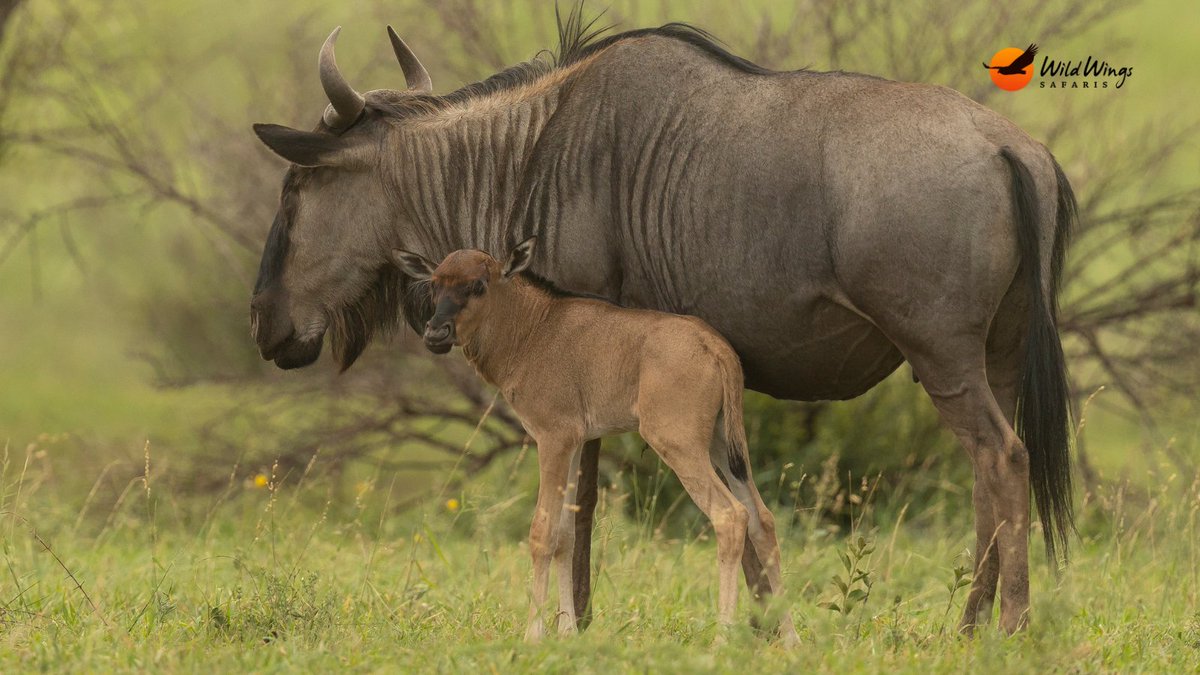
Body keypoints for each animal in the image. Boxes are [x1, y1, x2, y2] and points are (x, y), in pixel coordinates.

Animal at [393, 236, 801, 638]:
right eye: (434, 284)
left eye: (478, 285)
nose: (435, 334)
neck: (533, 327)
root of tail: (714, 347)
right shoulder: (574, 442)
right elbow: (565, 535)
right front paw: (568, 633)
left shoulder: (552, 438)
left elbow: (542, 532)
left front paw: (533, 635)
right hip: (723, 445)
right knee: (762, 519)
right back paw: (790, 639)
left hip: (678, 443)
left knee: (730, 516)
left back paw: (722, 637)